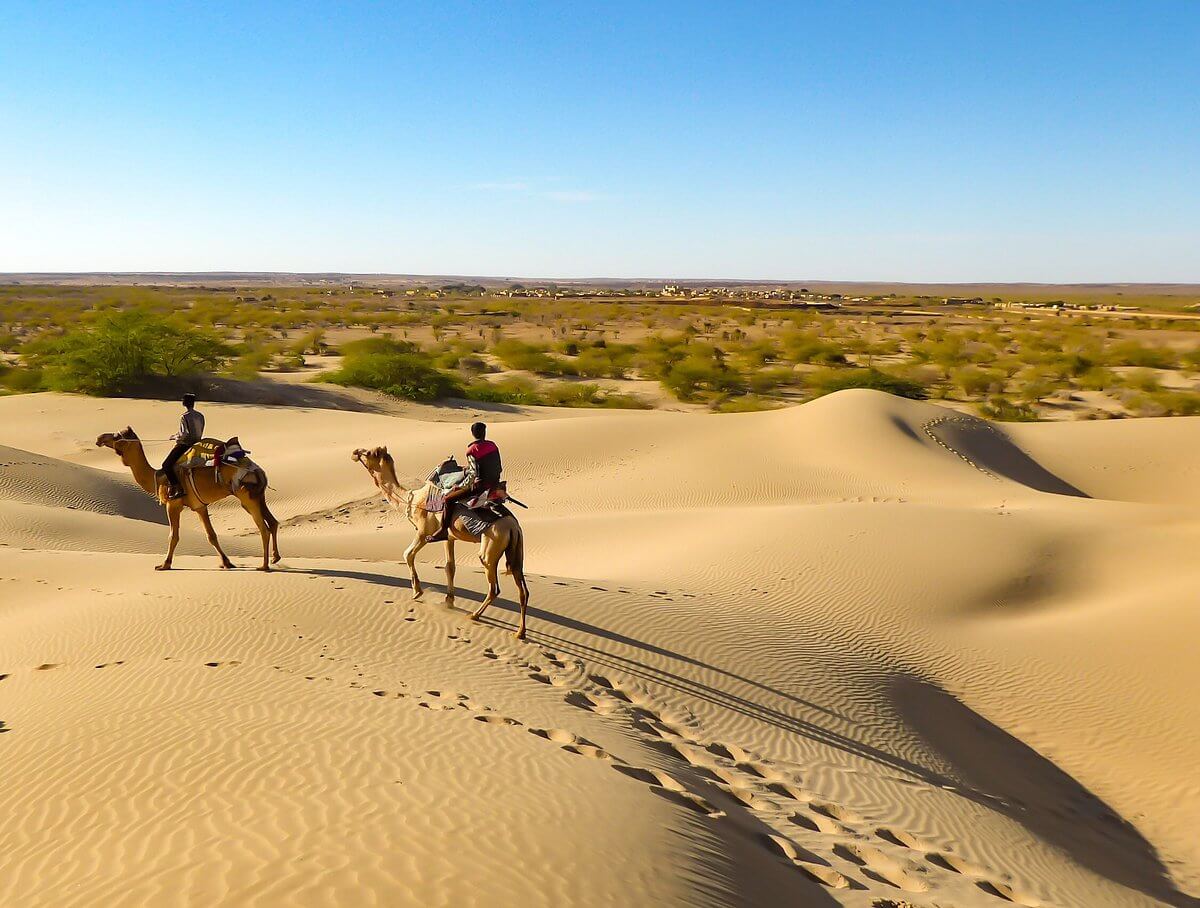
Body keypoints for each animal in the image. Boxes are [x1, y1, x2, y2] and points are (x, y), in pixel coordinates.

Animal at [96, 427, 280, 570]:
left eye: (117, 436)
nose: (99, 438)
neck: (157, 477)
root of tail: (256, 470)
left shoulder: (172, 504)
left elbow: (173, 536)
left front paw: (164, 564)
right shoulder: (200, 506)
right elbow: (211, 535)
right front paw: (227, 563)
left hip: (246, 495)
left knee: (263, 528)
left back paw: (264, 566)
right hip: (257, 495)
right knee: (273, 522)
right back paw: (274, 558)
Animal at [350, 446, 530, 638]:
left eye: (368, 453)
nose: (355, 452)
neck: (412, 499)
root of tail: (513, 527)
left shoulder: (423, 532)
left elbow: (407, 554)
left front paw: (417, 592)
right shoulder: (448, 536)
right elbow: (449, 566)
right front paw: (448, 600)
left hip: (491, 546)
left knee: (493, 586)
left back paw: (474, 615)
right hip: (516, 549)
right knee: (523, 590)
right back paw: (520, 632)